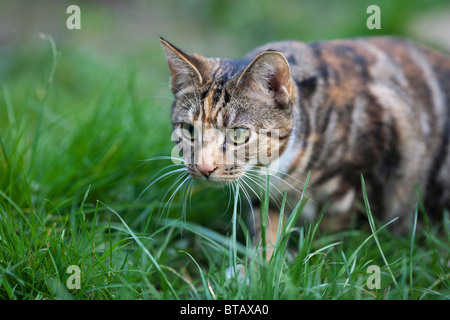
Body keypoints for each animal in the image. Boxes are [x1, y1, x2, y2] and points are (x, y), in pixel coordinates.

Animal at [159, 35, 450, 252]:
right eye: (188, 129)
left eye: (239, 134)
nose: (204, 168)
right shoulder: (267, 196)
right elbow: (266, 227)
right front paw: (259, 269)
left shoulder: (364, 170)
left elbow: (339, 232)